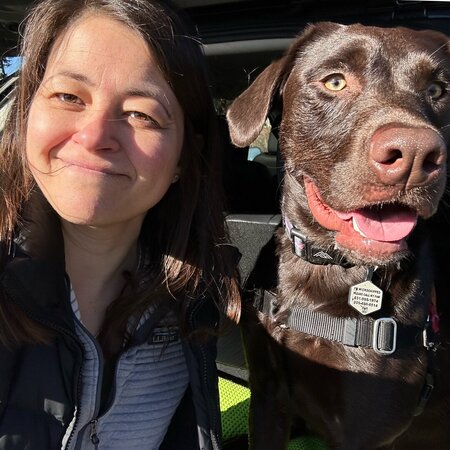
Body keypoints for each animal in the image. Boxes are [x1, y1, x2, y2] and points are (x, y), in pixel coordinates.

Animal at [229, 23, 450, 450]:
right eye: (335, 81)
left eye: (437, 90)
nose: (415, 155)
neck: (325, 264)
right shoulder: (266, 395)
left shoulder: (361, 429)